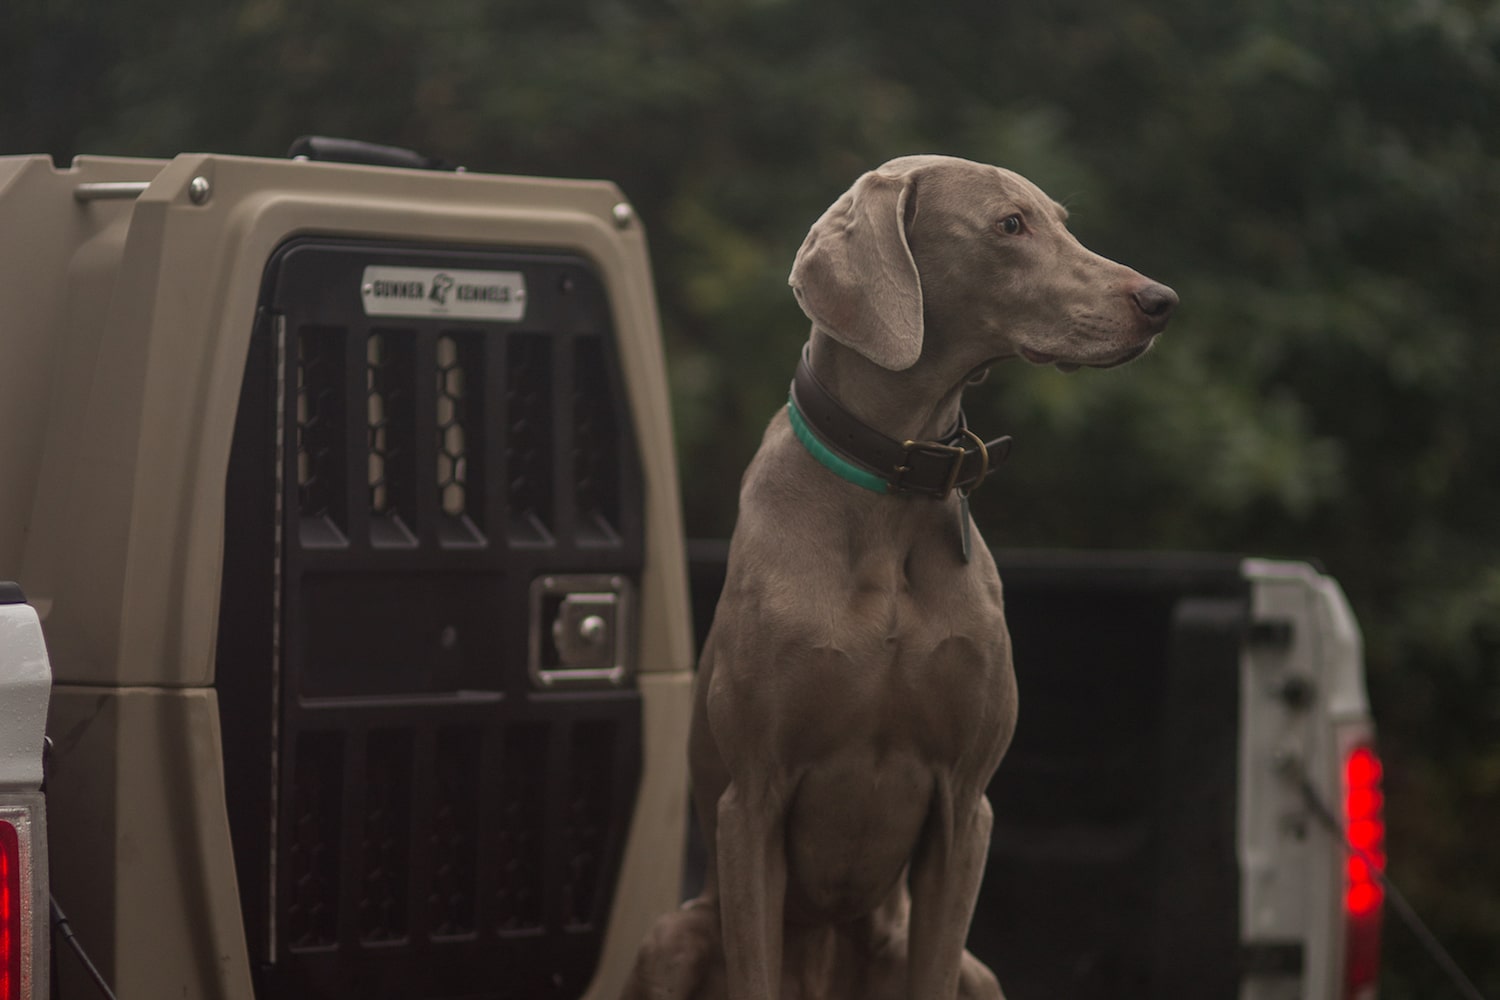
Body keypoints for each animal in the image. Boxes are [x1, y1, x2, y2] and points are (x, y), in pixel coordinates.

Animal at [621, 156, 1170, 1000]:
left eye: (1061, 219)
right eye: (1010, 224)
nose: (1160, 301)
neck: (894, 485)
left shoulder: (964, 804)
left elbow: (935, 960)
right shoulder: (751, 801)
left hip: (973, 968)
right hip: (675, 935)